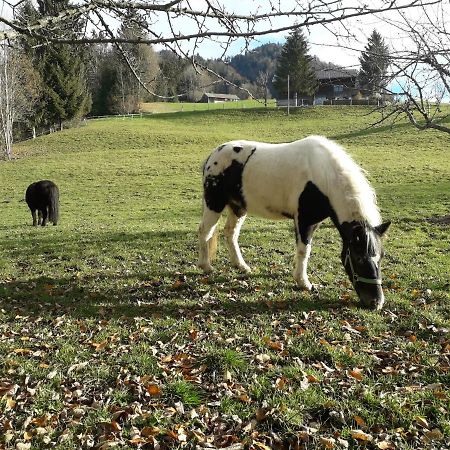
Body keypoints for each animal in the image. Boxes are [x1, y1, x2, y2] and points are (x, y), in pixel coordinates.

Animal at [197, 134, 390, 310]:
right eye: (358, 258)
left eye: (381, 256)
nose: (376, 303)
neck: (322, 176)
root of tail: (212, 156)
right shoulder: (304, 221)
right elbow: (304, 251)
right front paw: (304, 283)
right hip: (214, 204)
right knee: (205, 231)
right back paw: (206, 266)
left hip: (238, 207)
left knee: (230, 233)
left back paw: (241, 266)